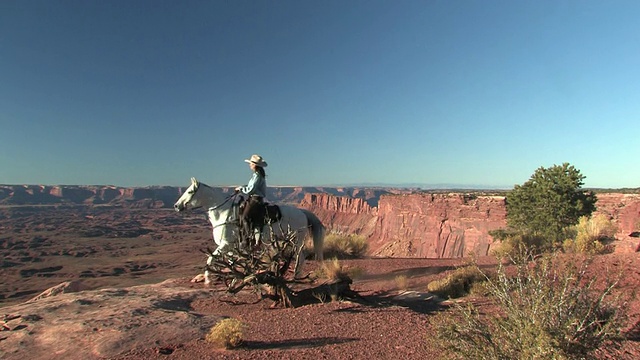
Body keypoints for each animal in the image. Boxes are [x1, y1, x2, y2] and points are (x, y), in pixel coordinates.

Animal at [174, 177, 324, 284]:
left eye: (189, 191)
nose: (176, 206)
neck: (223, 213)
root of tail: (302, 212)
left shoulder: (225, 244)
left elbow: (210, 259)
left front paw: (207, 280)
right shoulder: (231, 247)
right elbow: (231, 263)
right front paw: (234, 279)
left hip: (297, 240)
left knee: (300, 256)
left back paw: (295, 276)